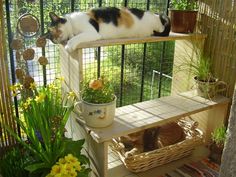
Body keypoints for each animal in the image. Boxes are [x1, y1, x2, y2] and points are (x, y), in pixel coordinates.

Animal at [43, 6, 171, 51]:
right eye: (50, 38)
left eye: (54, 28)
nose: (55, 39)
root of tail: (156, 14)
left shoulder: (92, 32)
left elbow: (75, 38)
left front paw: (69, 46)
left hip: (156, 24)